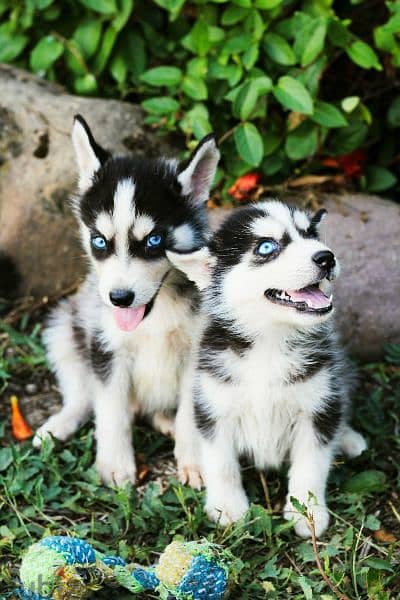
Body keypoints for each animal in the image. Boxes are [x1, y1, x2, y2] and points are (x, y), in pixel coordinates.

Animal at [167, 200, 368, 540]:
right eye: (266, 247)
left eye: (310, 234)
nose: (326, 257)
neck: (270, 343)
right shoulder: (214, 405)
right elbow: (221, 463)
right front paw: (227, 508)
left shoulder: (317, 404)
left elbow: (311, 465)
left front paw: (308, 512)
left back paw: (348, 438)